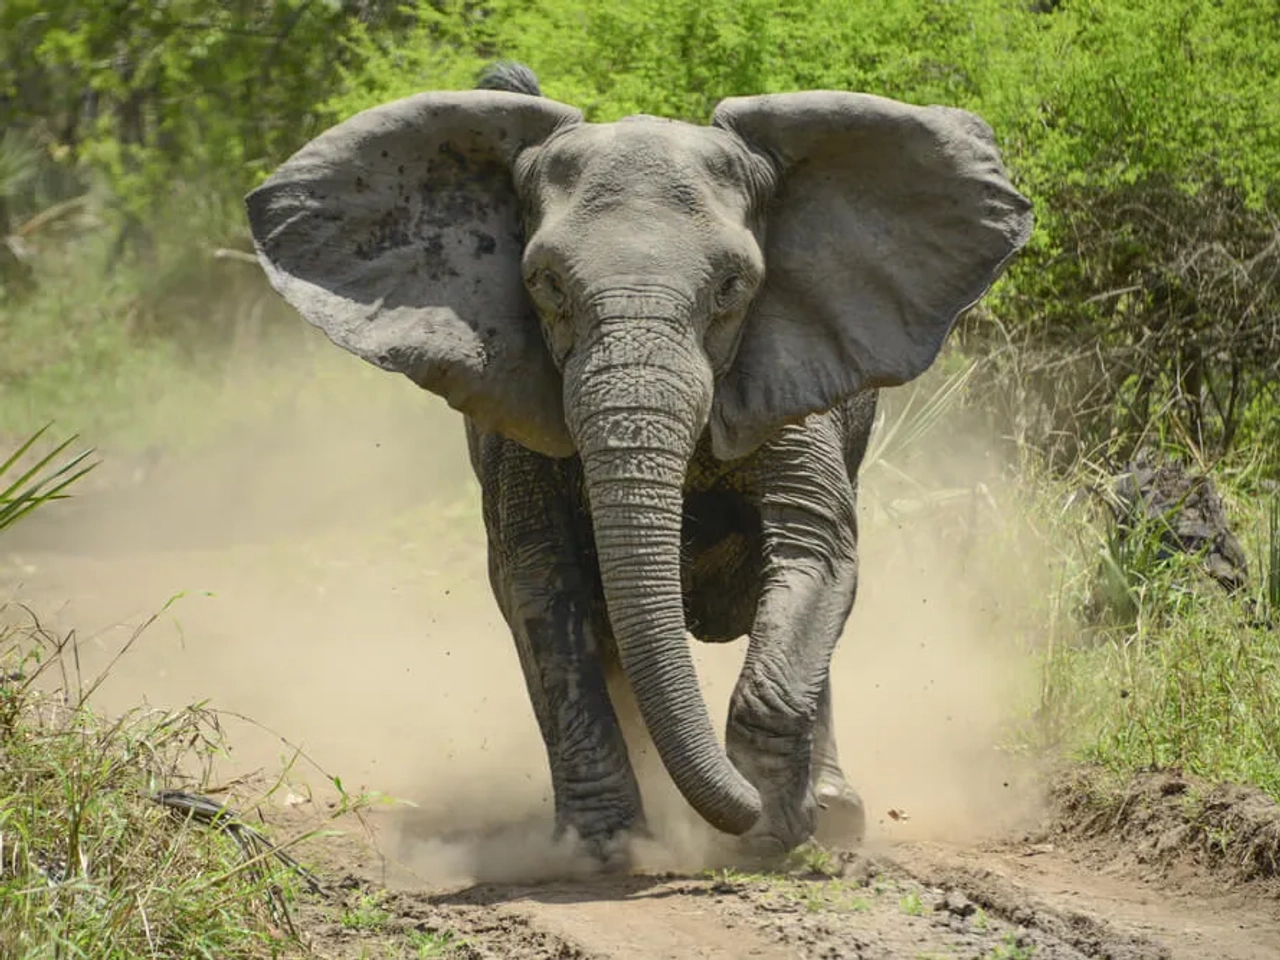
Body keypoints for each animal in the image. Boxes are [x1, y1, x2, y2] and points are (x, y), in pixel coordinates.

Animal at [244, 61, 1032, 863]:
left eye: (732, 287)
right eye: (546, 284)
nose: (741, 812)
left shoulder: (790, 370)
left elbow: (814, 550)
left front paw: (772, 834)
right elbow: (539, 582)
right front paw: (605, 847)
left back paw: (832, 814)